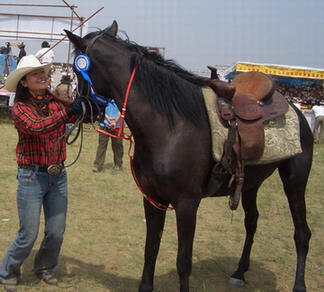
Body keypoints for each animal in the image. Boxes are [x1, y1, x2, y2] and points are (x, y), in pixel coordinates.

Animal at [65, 21, 312, 292]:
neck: (172, 127)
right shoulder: (153, 199)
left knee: (301, 233)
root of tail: (295, 109)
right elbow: (151, 248)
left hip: (295, 180)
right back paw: (239, 272)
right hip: (250, 183)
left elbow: (183, 262)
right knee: (252, 222)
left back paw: (299, 284)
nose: (79, 109)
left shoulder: (186, 204)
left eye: (77, 71)